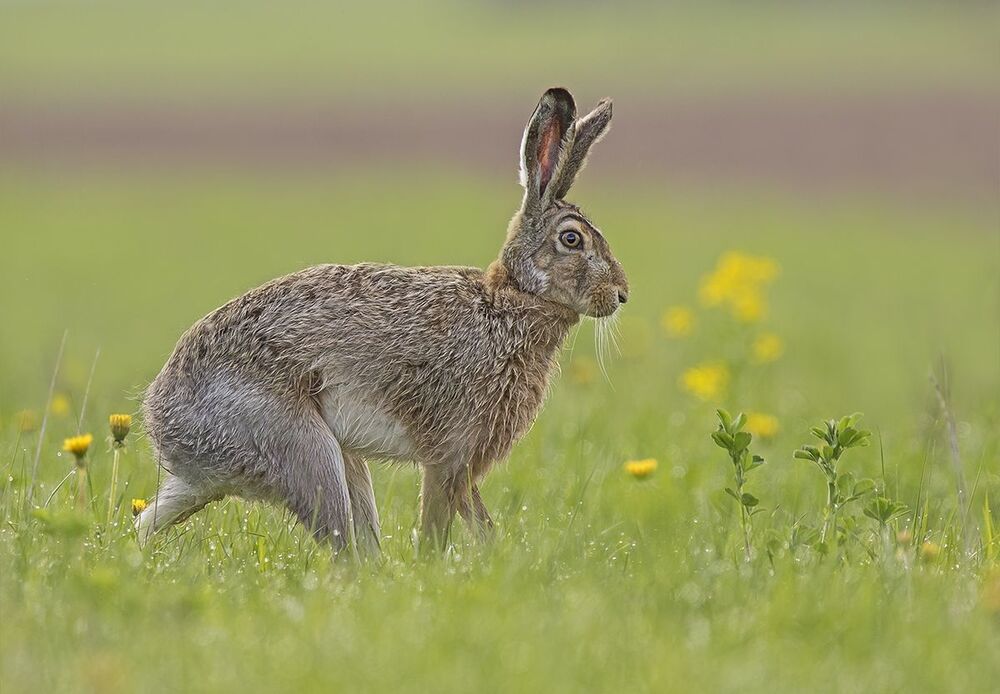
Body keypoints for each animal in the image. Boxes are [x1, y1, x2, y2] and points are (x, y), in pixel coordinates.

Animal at [137, 87, 628, 554]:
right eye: (571, 239)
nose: (622, 294)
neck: (510, 300)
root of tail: (163, 421)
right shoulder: (449, 455)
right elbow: (439, 524)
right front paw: (433, 566)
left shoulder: (463, 465)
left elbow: (478, 522)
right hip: (305, 453)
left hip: (313, 464)